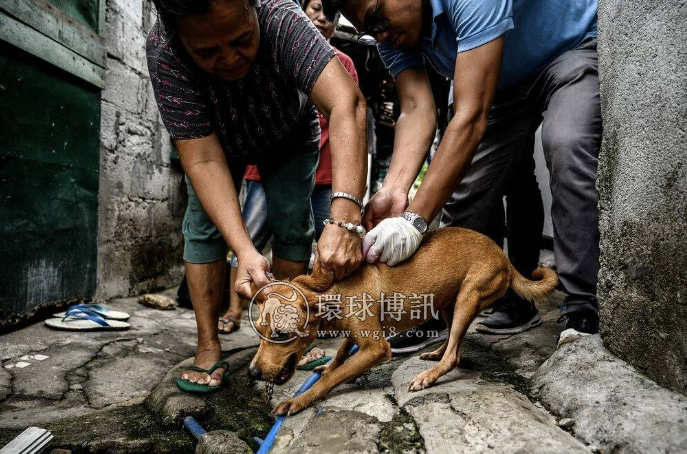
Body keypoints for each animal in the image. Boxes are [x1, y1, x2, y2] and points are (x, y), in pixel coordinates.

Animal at [247, 227, 560, 414]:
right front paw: (327, 366)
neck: (330, 288)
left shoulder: (376, 348)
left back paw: (428, 376)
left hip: (468, 297)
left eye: (280, 335)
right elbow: (340, 354)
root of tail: (503, 256)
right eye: (259, 331)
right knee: (453, 342)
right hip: (446, 301)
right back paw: (436, 352)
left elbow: (334, 378)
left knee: (455, 355)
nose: (252, 373)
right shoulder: (356, 334)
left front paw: (298, 400)